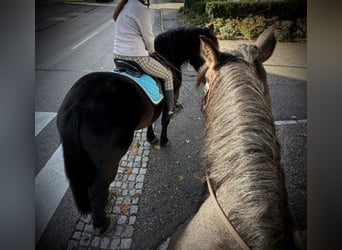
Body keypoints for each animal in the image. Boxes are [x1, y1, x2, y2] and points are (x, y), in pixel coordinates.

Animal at [55, 25, 216, 234]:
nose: (211, 78)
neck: (167, 55)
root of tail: (77, 106)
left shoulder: (154, 108)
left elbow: (151, 121)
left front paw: (151, 137)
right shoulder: (167, 102)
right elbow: (165, 120)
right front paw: (163, 140)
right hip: (108, 160)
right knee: (98, 188)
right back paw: (102, 223)